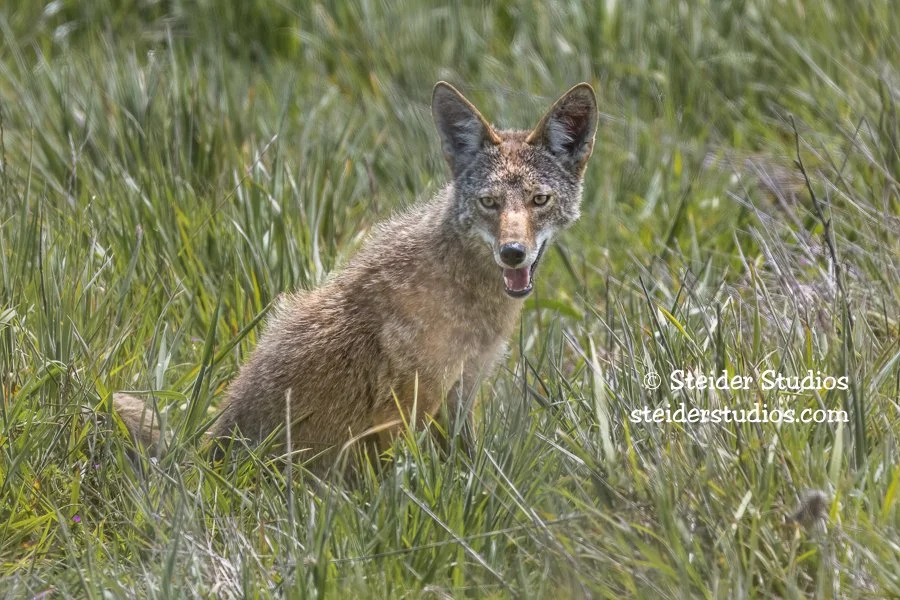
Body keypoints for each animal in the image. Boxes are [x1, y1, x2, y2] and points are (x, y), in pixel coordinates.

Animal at [114, 81, 598, 473]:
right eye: (489, 202)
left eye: (539, 200)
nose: (513, 253)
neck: (463, 291)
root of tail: (202, 463)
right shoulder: (404, 407)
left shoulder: (461, 391)